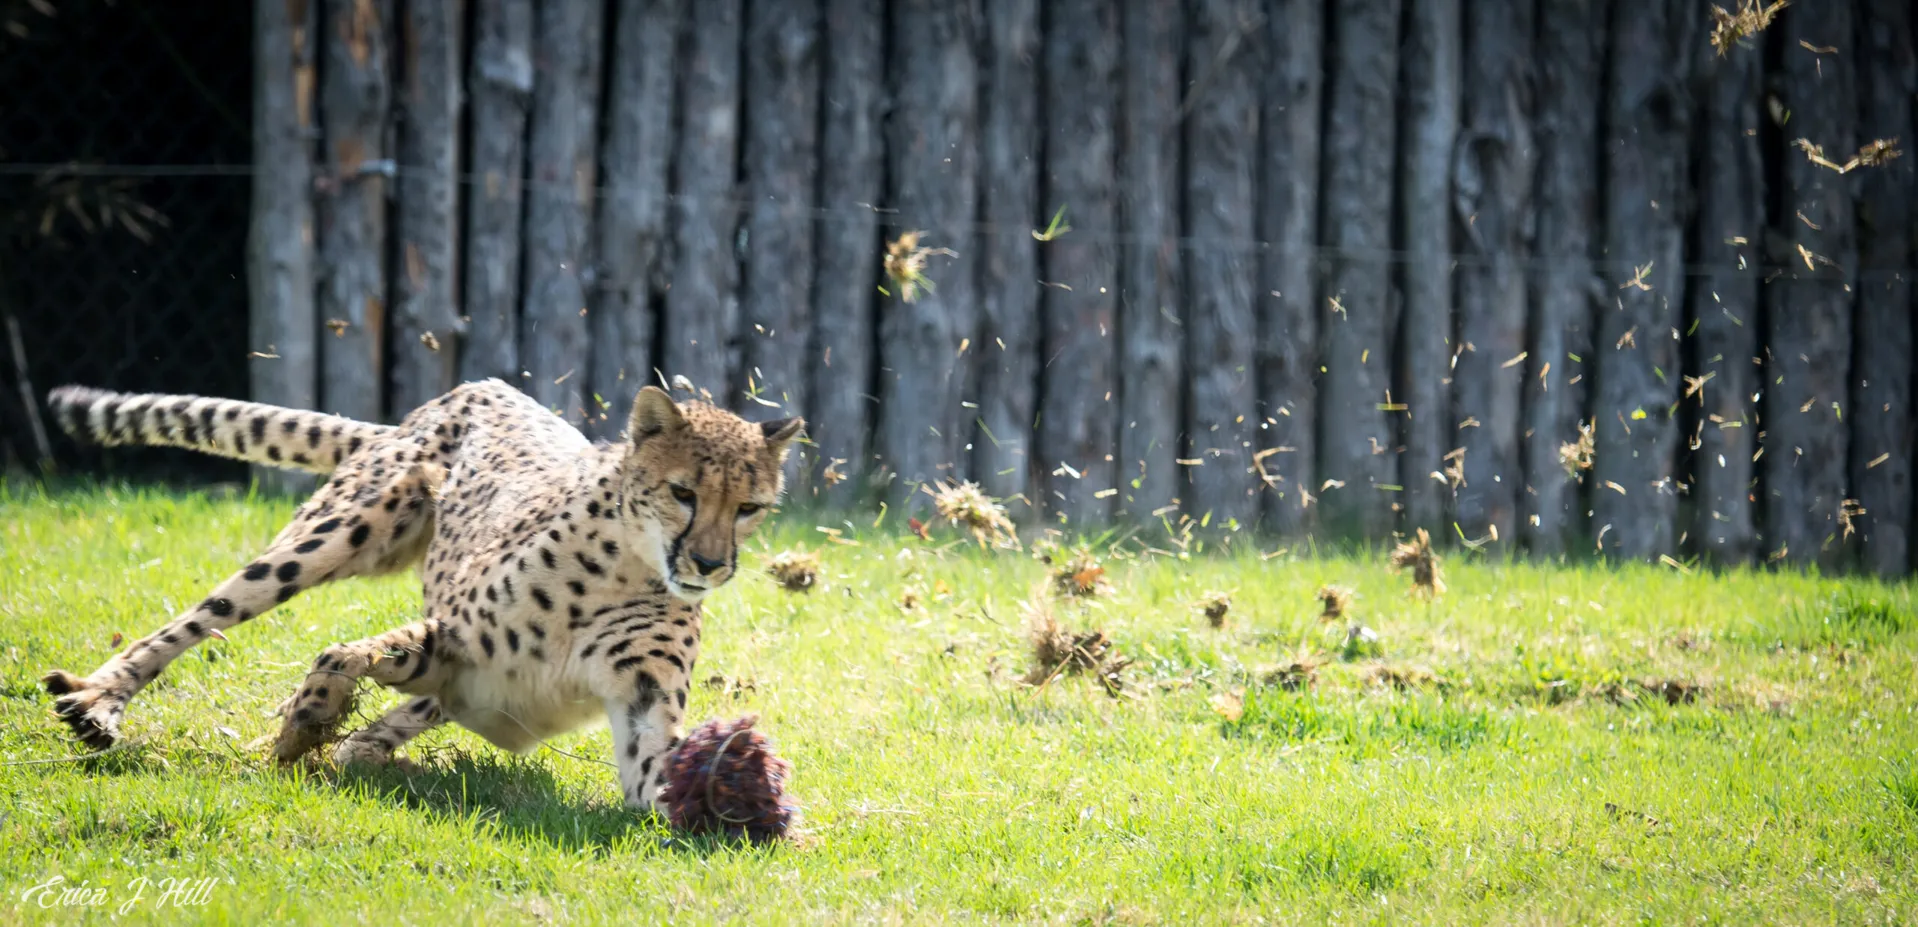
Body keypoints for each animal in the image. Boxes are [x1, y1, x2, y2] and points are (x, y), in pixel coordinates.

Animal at [37, 378, 802, 814]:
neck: (627, 565)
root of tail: (476, 387)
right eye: (684, 493)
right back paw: (101, 702)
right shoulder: (457, 647)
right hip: (336, 535)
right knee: (199, 620)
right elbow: (341, 654)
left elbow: (659, 778)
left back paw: (368, 751)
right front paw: (304, 725)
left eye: (750, 507)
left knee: (400, 720)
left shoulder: (638, 702)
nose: (710, 563)